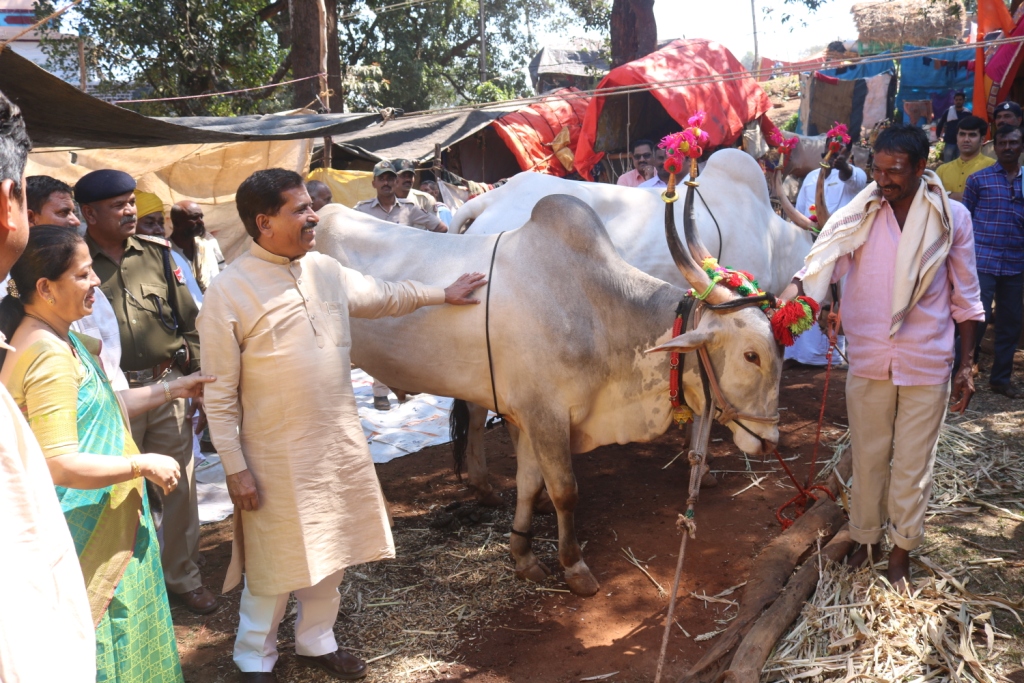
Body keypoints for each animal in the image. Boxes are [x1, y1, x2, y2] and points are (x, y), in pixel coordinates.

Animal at [315, 191, 778, 593]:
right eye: (751, 355)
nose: (771, 439)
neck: (596, 310)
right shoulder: (545, 416)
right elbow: (563, 491)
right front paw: (573, 566)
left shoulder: (529, 417)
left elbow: (528, 483)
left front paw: (522, 554)